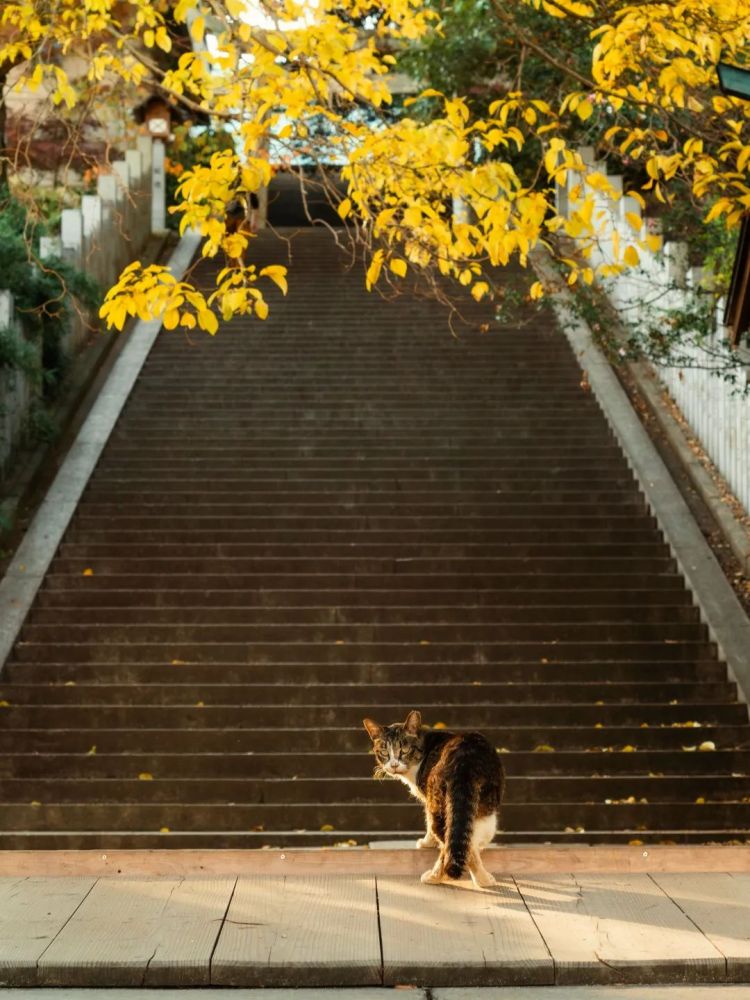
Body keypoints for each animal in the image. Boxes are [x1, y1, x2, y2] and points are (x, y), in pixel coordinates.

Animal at [364, 708, 506, 888]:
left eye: (404, 751)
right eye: (384, 752)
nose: (394, 765)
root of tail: (464, 764)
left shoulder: (427, 799)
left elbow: (428, 825)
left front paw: (426, 843)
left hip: (437, 799)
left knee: (448, 841)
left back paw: (438, 878)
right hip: (486, 807)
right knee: (463, 841)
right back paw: (482, 879)